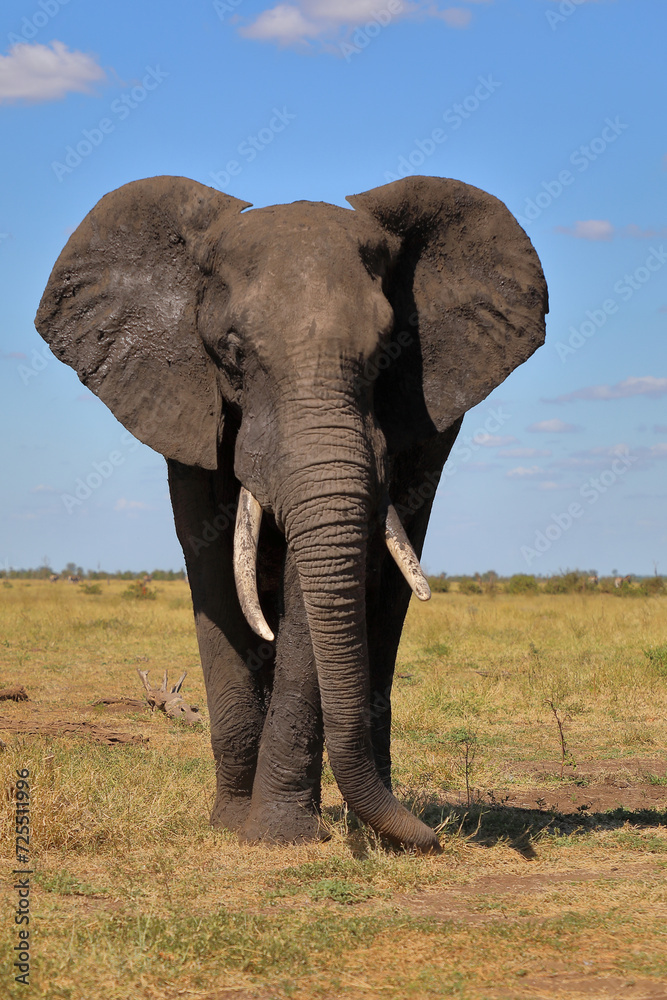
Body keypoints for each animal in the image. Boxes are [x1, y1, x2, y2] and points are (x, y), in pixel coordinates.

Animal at [35, 174, 548, 852]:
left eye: (388, 351)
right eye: (231, 352)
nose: (437, 838)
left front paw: (279, 835)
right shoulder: (186, 406)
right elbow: (212, 565)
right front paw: (233, 825)